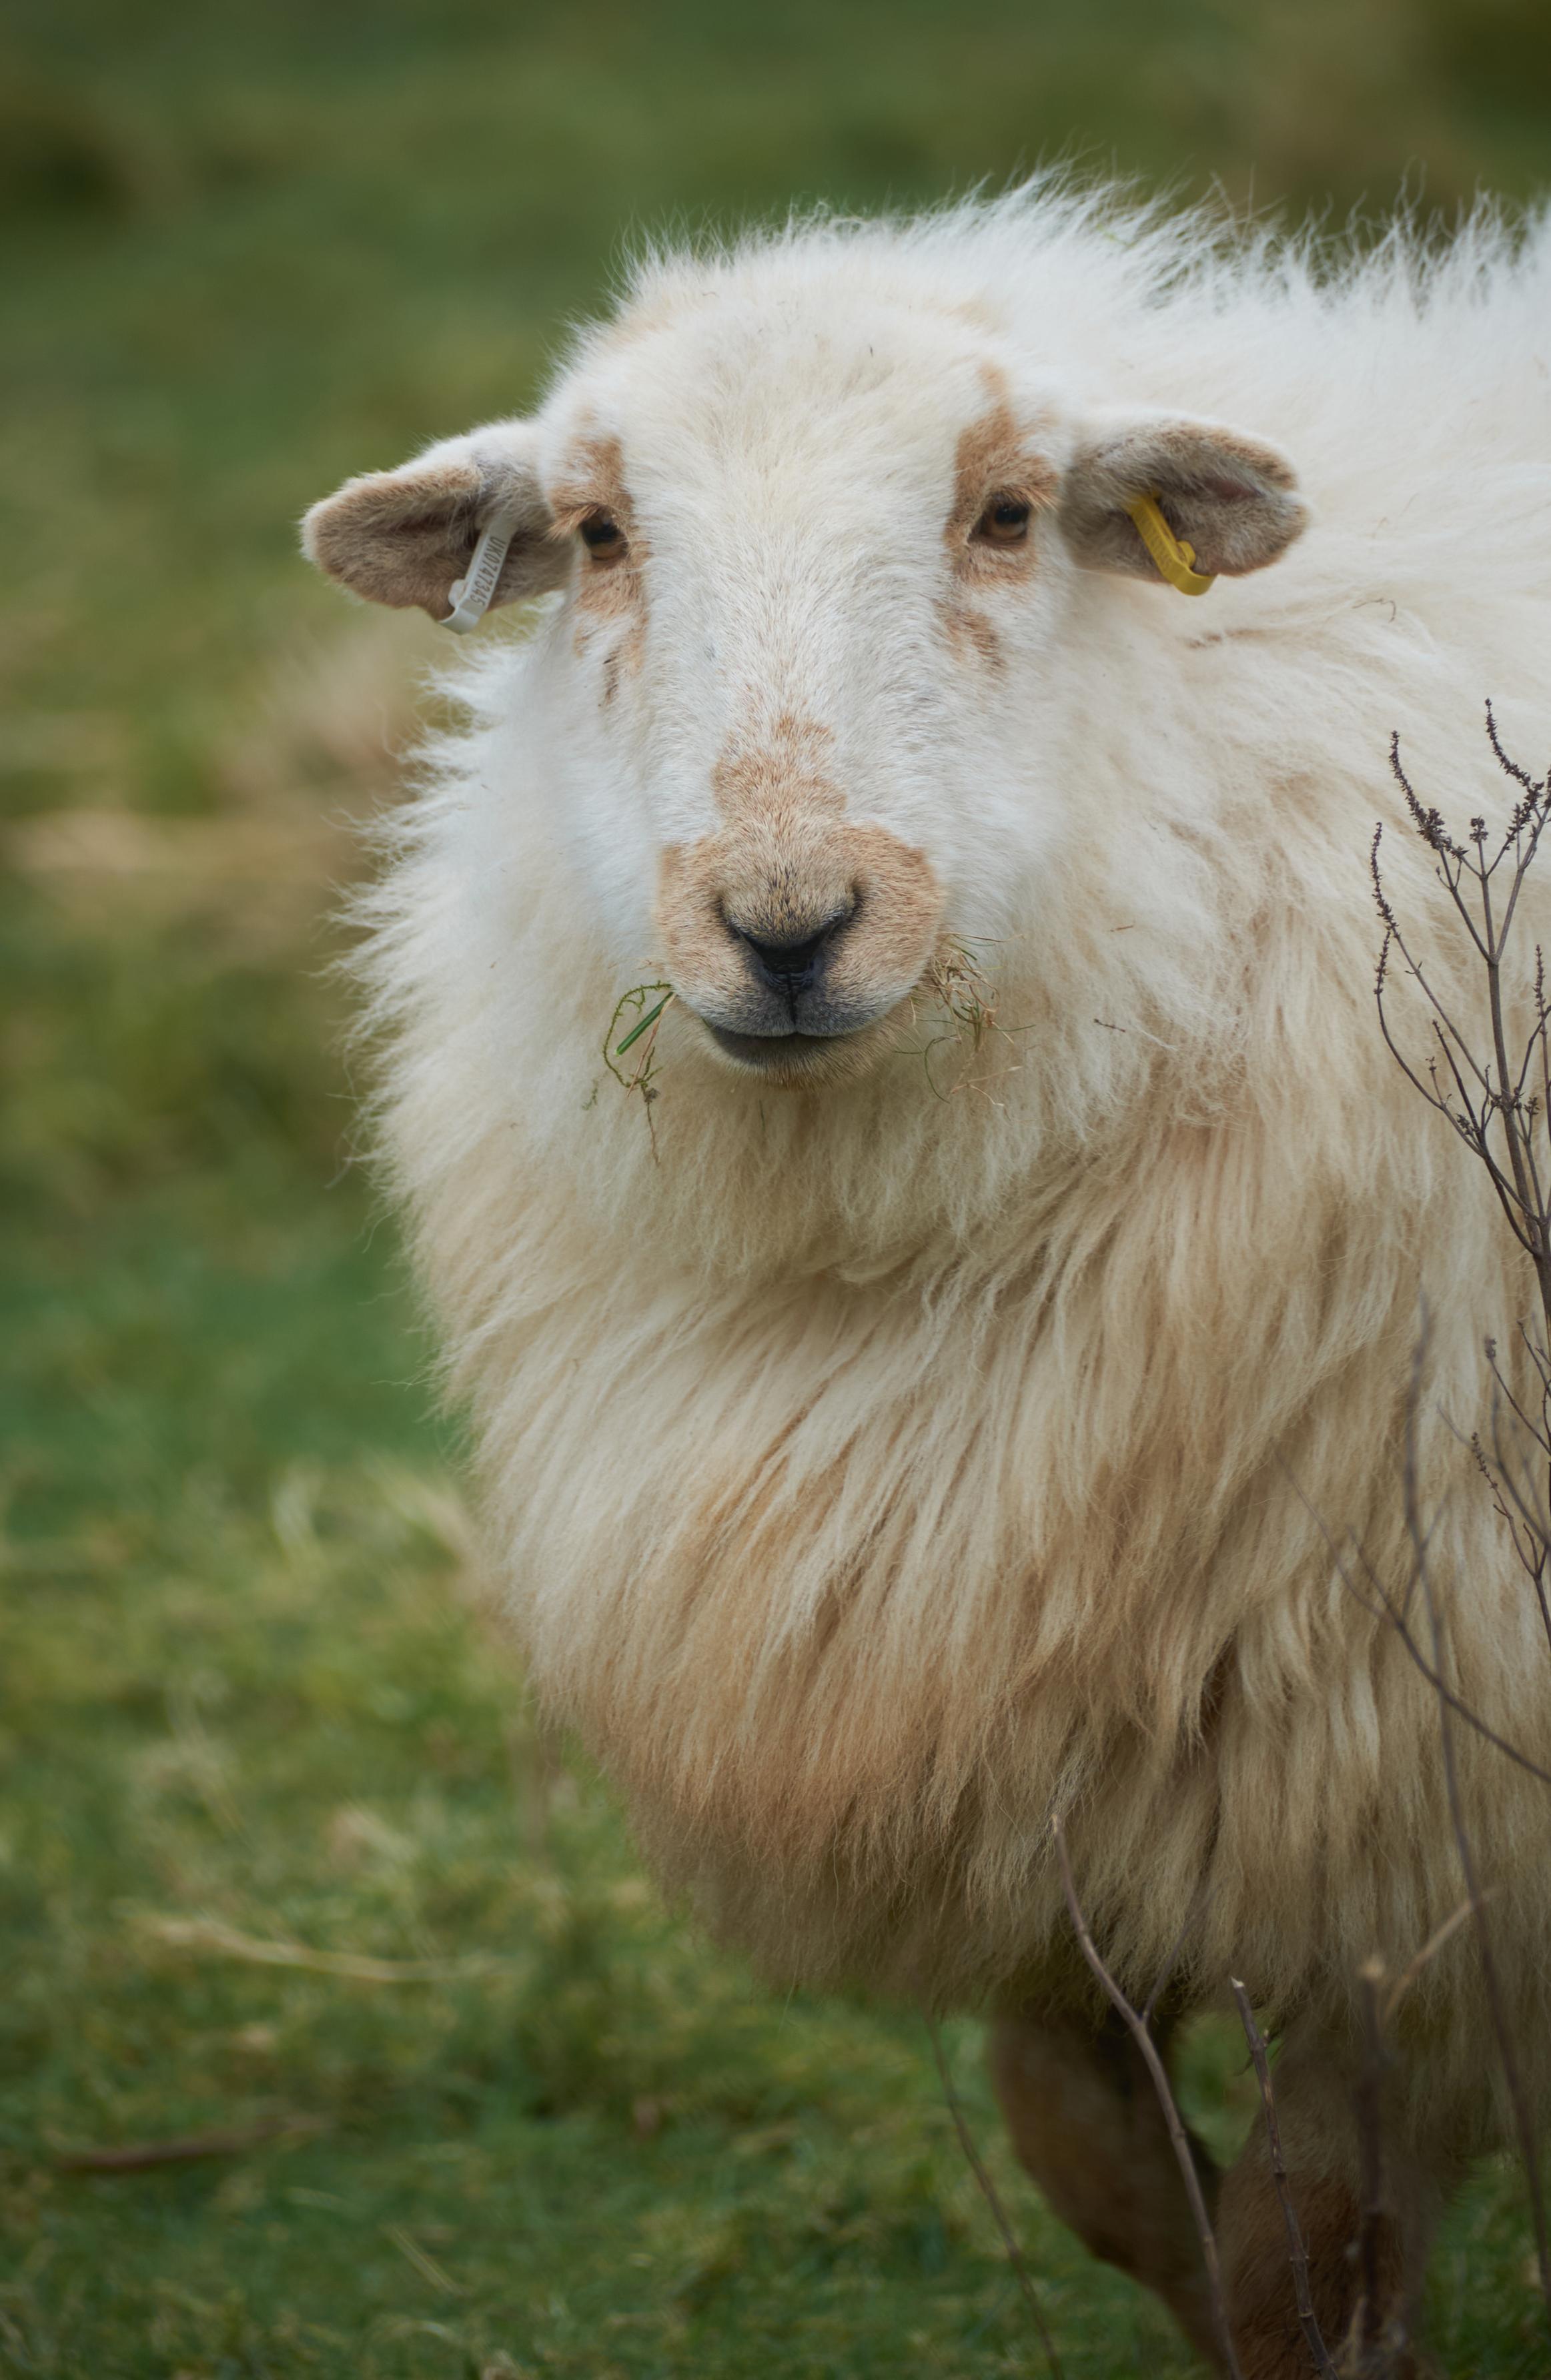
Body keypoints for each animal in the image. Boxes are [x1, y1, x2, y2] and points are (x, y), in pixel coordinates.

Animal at [303, 186, 1551, 2374]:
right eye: (599, 534)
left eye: (1006, 511)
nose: (788, 925)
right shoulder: (1013, 1748)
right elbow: (1101, 2165)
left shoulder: (1393, 1805)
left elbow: (1296, 2248)